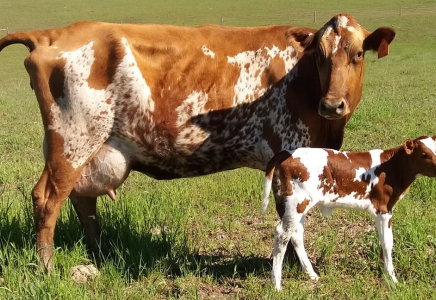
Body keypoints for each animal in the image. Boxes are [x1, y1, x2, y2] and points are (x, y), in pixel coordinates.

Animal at [0, 14, 396, 270]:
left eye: (358, 54)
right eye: (321, 56)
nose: (332, 104)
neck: (304, 80)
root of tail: (54, 33)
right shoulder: (290, 151)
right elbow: (292, 221)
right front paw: (298, 269)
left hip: (91, 150)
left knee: (82, 201)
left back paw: (100, 255)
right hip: (72, 142)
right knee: (47, 199)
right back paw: (48, 267)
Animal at [262, 136, 436, 290]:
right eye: (423, 154)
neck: (393, 167)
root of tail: (288, 152)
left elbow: (383, 240)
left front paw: (383, 269)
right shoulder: (383, 208)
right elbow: (388, 242)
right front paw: (392, 278)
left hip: (297, 206)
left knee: (296, 235)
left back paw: (311, 274)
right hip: (296, 203)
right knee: (282, 235)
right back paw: (276, 285)